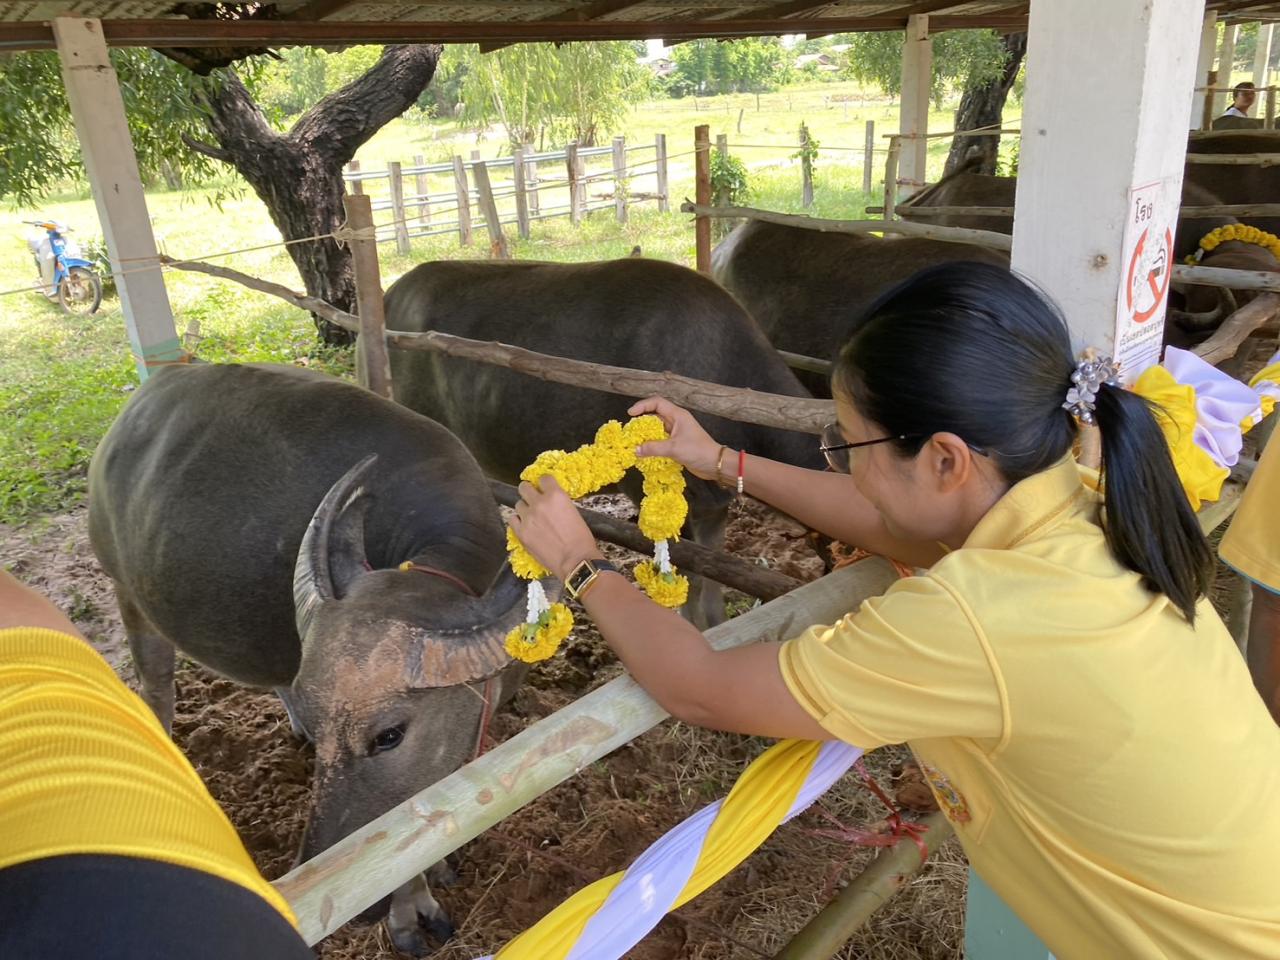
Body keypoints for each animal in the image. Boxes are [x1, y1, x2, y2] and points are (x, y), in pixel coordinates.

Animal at [90, 360, 527, 957]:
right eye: (330, 735)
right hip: (129, 596)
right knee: (156, 688)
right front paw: (409, 912)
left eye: (389, 735)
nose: (318, 863)